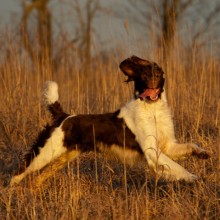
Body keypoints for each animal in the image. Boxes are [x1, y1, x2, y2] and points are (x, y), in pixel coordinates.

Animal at [9, 55, 211, 186]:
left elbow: (190, 146)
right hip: (45, 153)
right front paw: (194, 178)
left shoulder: (167, 146)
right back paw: (11, 192)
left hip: (63, 157)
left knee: (36, 180)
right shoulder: (152, 152)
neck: (151, 108)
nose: (152, 80)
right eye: (144, 76)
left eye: (157, 72)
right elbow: (178, 168)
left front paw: (202, 154)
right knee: (19, 172)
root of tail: (63, 116)